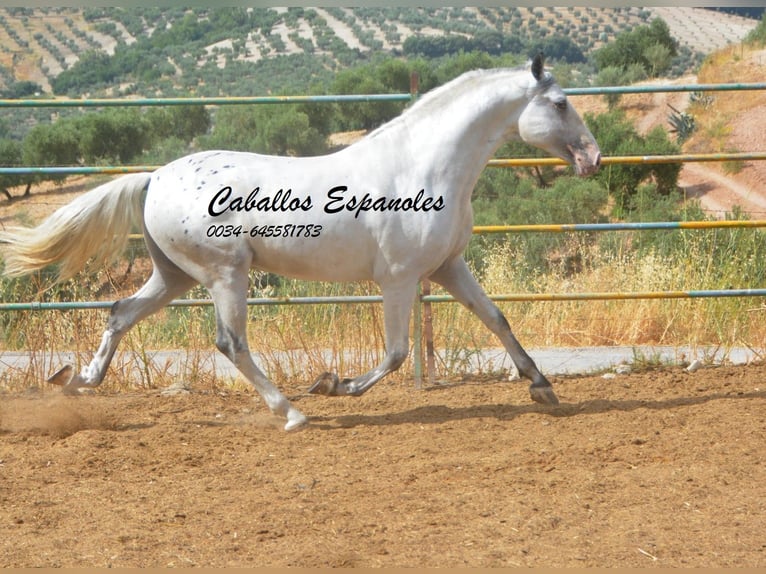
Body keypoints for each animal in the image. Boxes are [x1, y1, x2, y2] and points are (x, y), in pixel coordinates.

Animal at [0, 54, 600, 431]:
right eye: (561, 103)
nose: (593, 159)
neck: (423, 167)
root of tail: (155, 177)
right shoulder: (400, 277)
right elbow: (397, 352)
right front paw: (333, 385)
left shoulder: (448, 266)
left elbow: (496, 318)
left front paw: (542, 386)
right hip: (225, 275)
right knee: (231, 344)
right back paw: (292, 412)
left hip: (174, 276)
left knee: (120, 312)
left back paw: (78, 381)